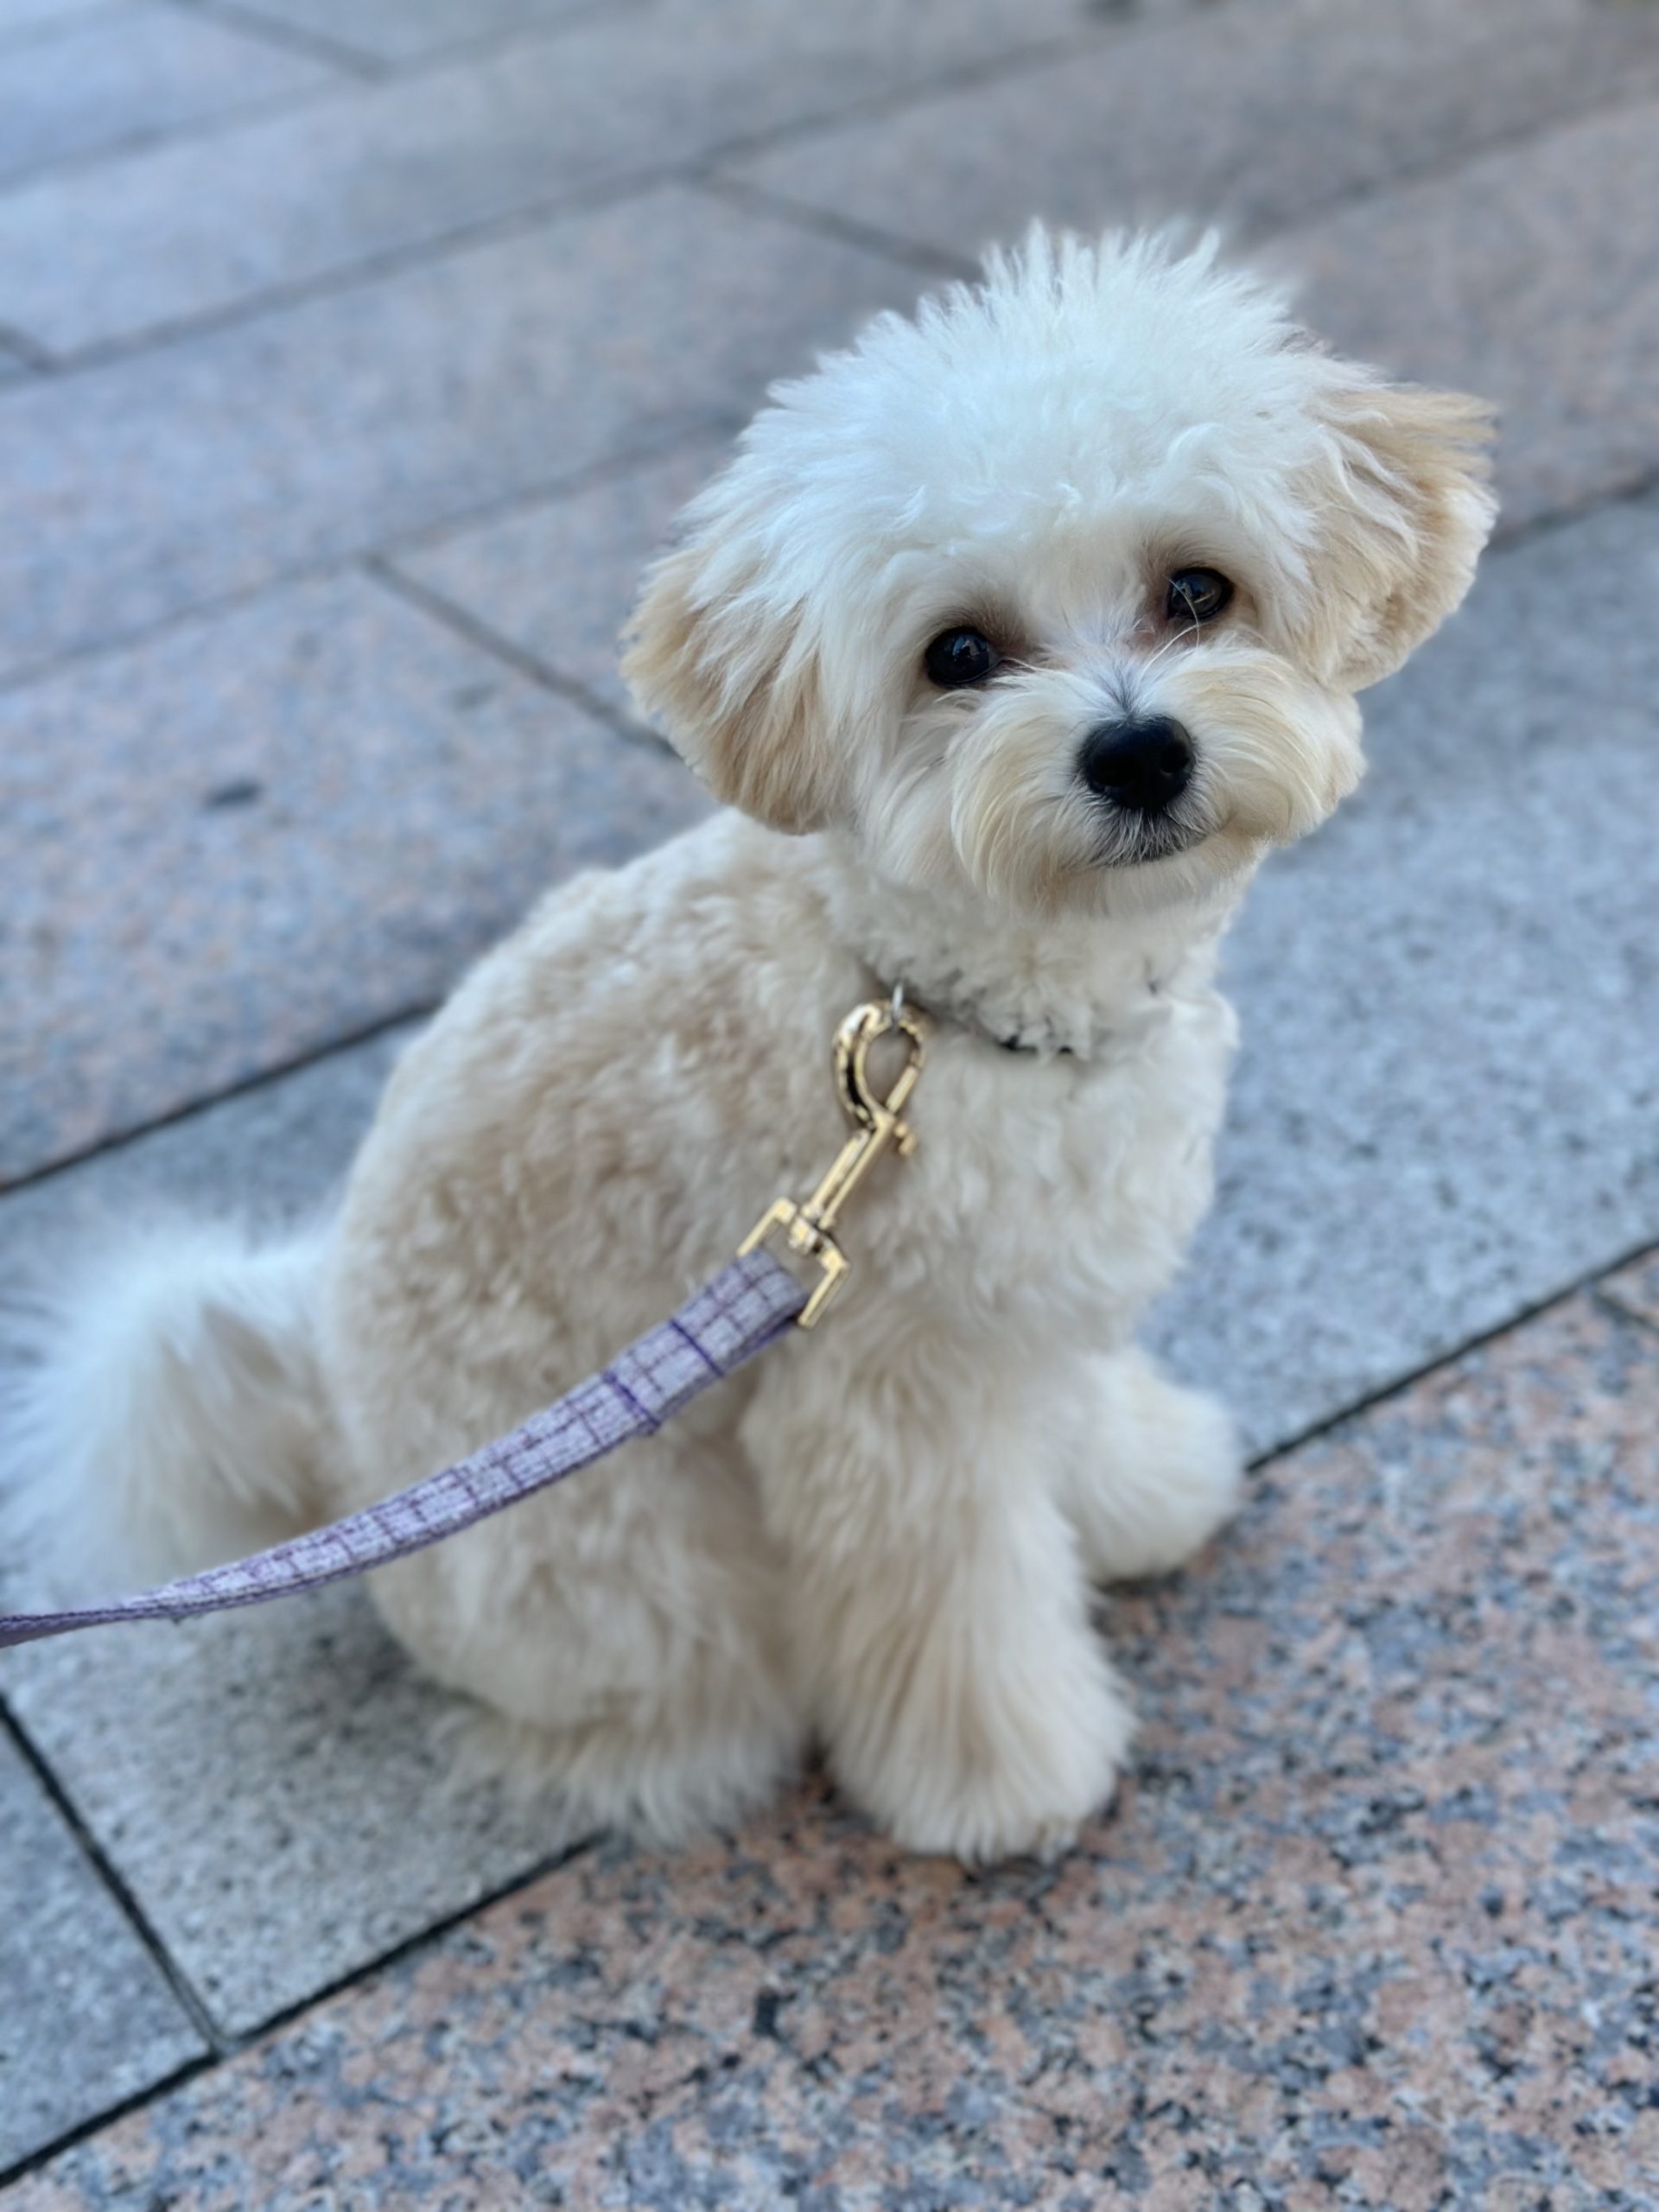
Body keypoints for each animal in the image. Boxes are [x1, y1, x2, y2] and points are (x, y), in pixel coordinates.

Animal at [12, 230, 1495, 1862]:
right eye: (958, 653)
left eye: (1196, 588)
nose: (1137, 751)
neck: (947, 1008)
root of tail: (330, 1436)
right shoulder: (884, 1402)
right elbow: (955, 1611)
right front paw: (1009, 1783)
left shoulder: (1031, 1304)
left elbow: (1073, 1424)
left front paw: (1145, 1491)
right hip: (639, 1562)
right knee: (652, 1711)